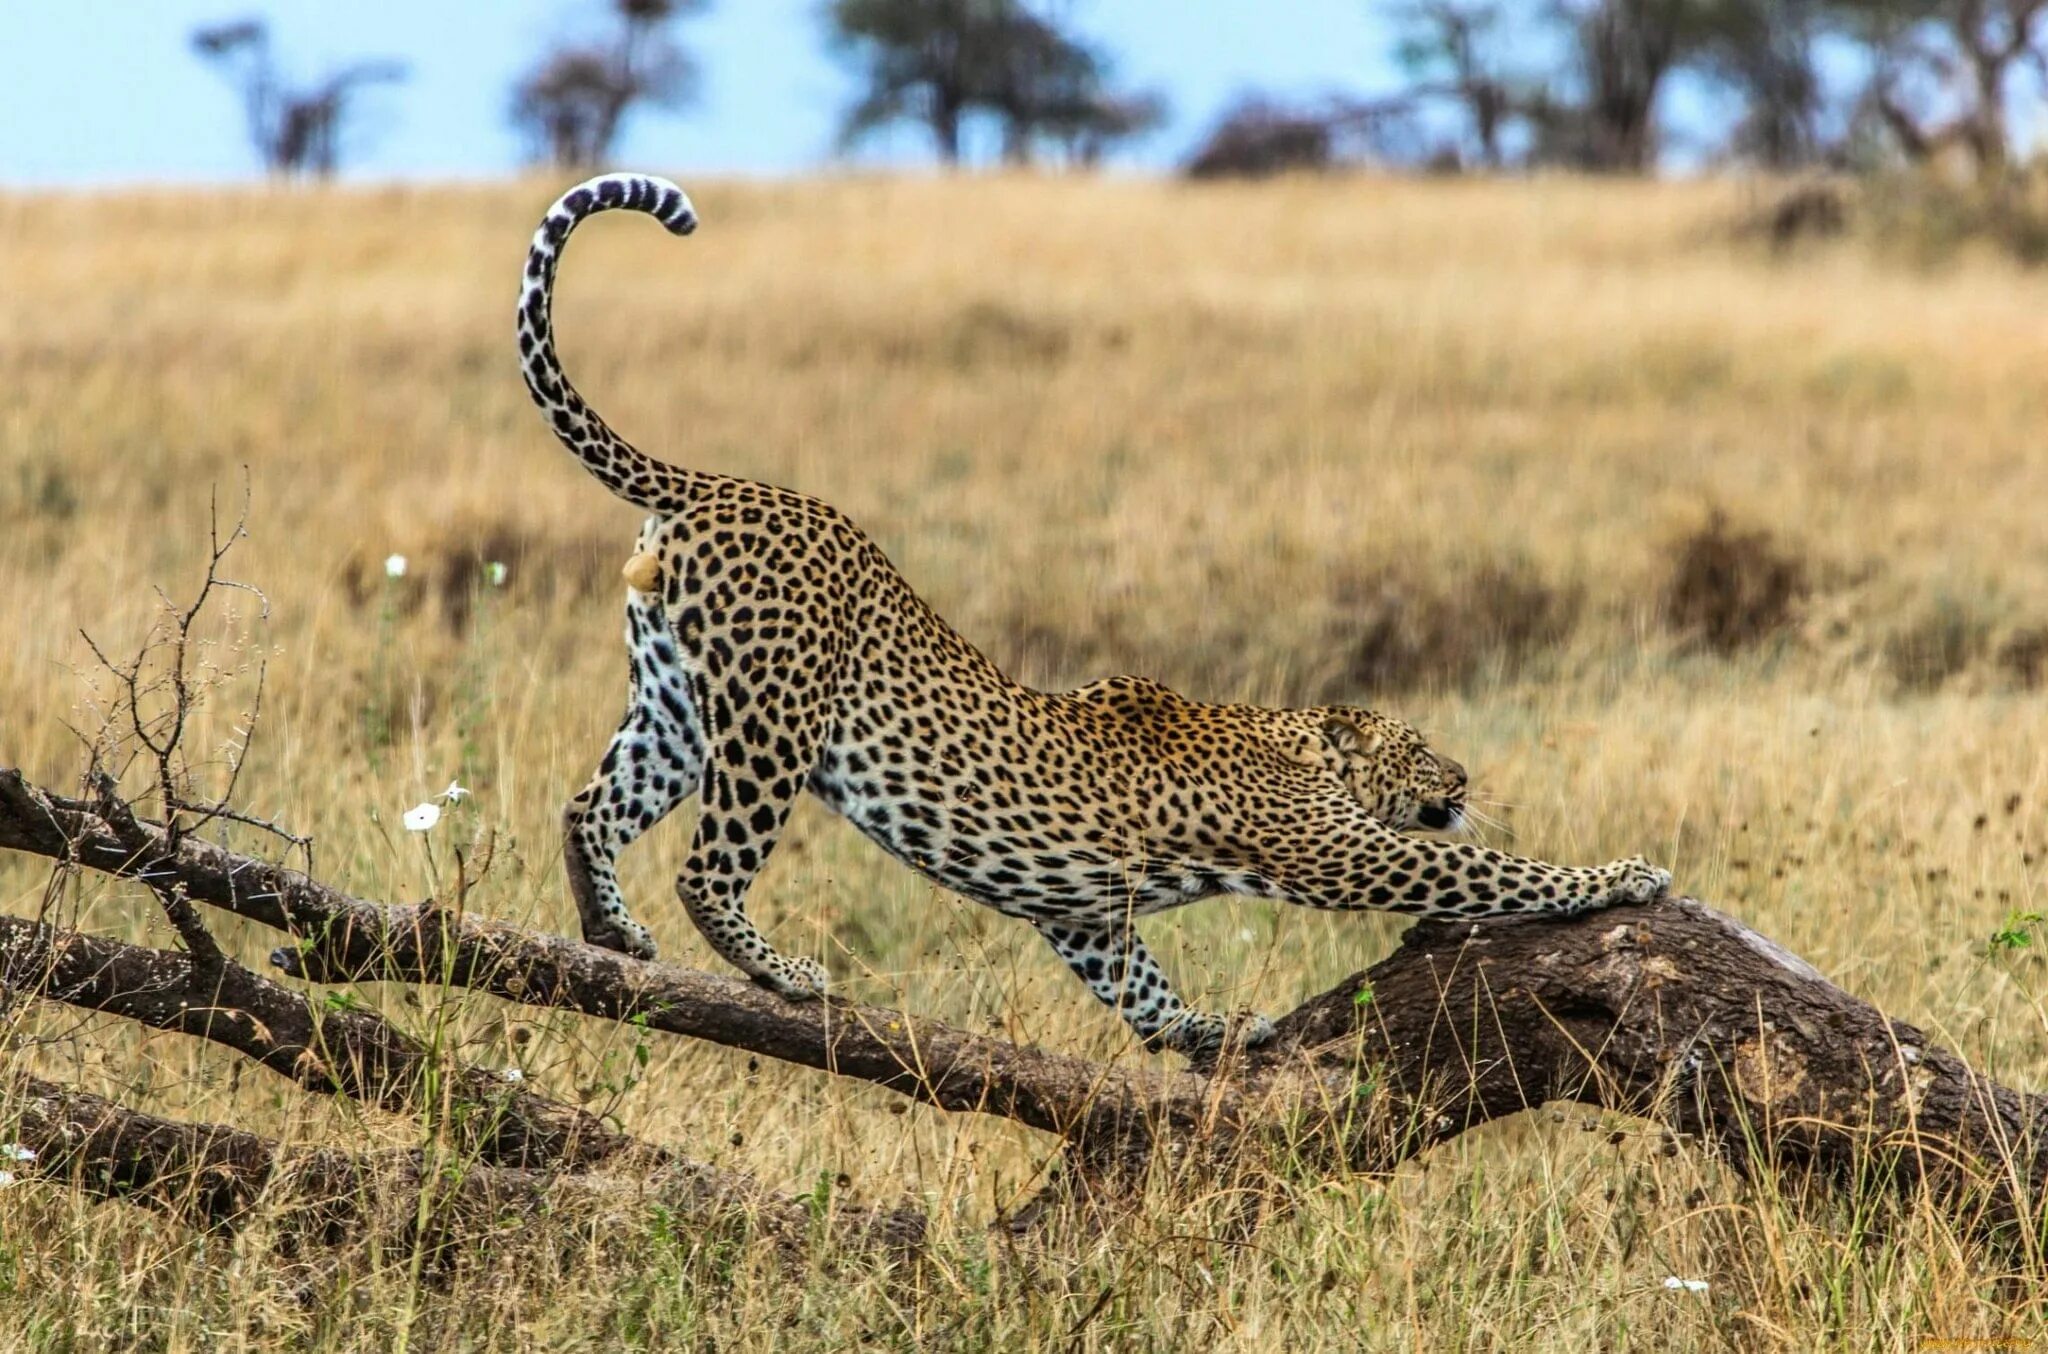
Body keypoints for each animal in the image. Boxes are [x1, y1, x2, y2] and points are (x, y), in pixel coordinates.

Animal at [507, 172, 1662, 1056]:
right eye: (1420, 745)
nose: (1461, 779)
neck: (1291, 742)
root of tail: (710, 483)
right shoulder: (1335, 849)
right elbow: (1489, 871)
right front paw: (1622, 873)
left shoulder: (1081, 911)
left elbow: (1137, 984)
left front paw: (1203, 1034)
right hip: (771, 719)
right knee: (708, 867)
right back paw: (785, 975)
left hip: (674, 705)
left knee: (587, 807)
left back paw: (612, 935)